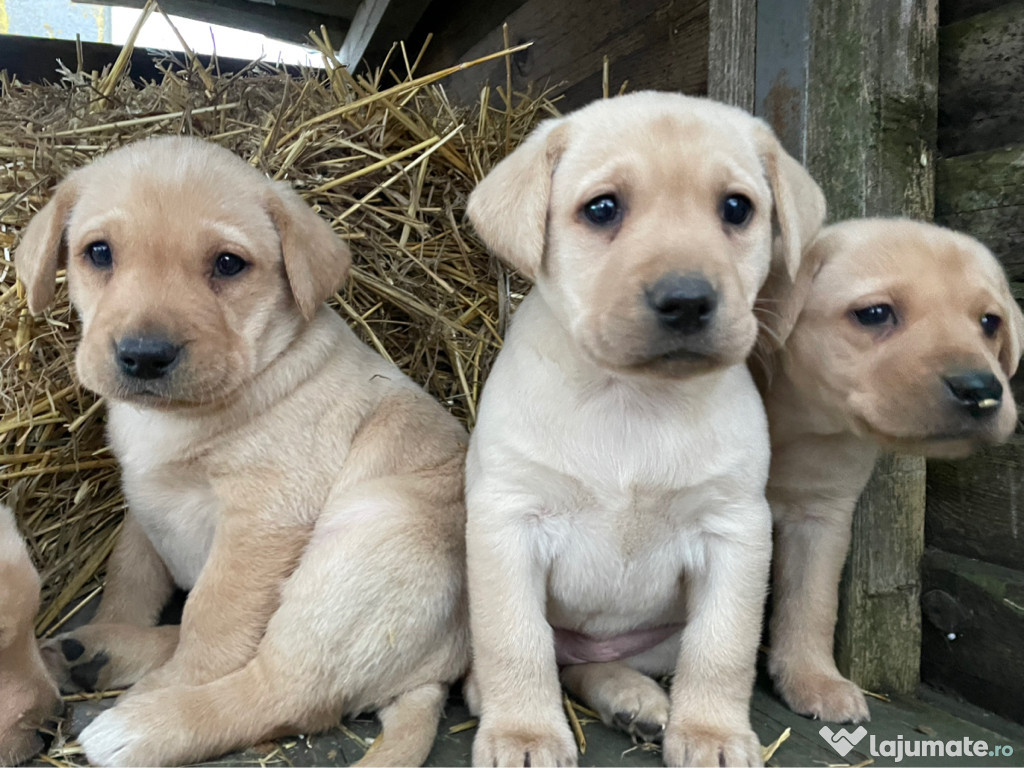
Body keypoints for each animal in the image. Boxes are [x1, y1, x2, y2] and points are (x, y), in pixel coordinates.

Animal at [14, 135, 468, 765]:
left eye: (228, 264)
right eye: (98, 253)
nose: (144, 356)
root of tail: (434, 675)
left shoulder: (262, 519)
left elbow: (212, 618)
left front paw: (175, 684)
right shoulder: (143, 501)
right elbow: (130, 578)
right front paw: (112, 625)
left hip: (363, 549)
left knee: (281, 688)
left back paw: (142, 724)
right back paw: (100, 653)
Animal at [462, 91, 823, 768]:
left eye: (737, 208)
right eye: (602, 208)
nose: (686, 300)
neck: (633, 400)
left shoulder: (735, 530)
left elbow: (722, 647)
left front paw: (711, 733)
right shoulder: (508, 521)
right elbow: (515, 641)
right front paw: (524, 733)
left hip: (653, 640)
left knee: (591, 666)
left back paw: (636, 699)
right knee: (552, 656)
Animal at [765, 219, 1019, 724]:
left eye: (989, 322)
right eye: (875, 313)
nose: (980, 389)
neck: (800, 419)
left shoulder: (821, 518)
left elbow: (810, 603)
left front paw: (812, 678)